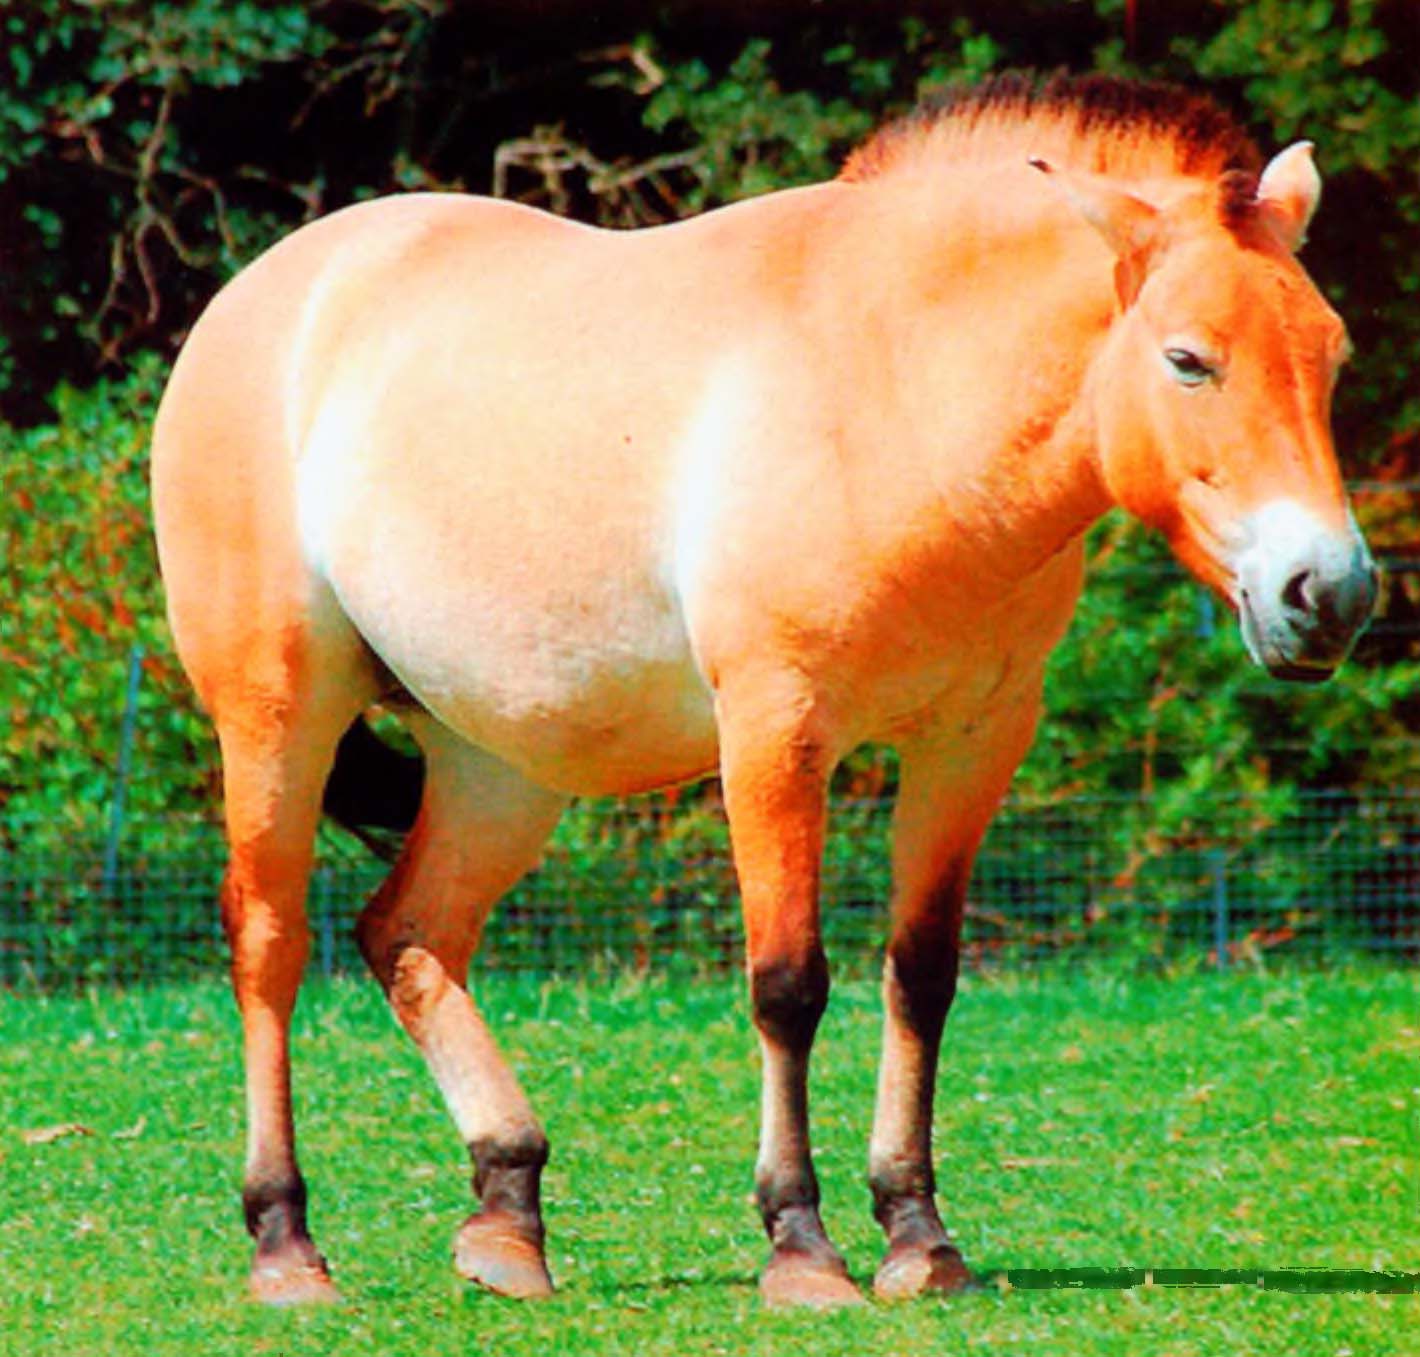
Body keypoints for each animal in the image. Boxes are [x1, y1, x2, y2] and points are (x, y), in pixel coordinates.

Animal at [152, 71, 1374, 1305]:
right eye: (1188, 359)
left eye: (1331, 357)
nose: (1329, 592)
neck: (895, 383)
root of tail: (270, 291)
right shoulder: (775, 732)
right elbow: (788, 982)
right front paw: (802, 1246)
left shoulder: (970, 742)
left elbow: (920, 976)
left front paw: (919, 1237)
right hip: (277, 715)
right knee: (270, 943)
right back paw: (286, 1244)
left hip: (499, 762)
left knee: (407, 933)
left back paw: (506, 1216)